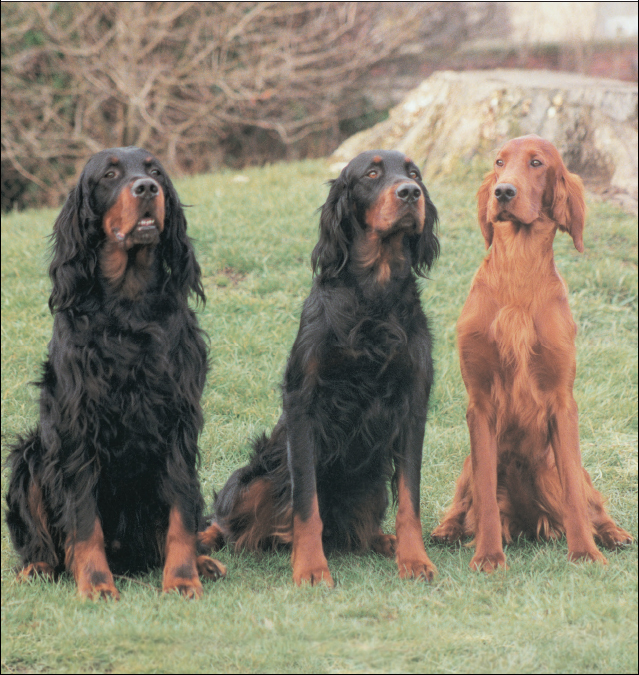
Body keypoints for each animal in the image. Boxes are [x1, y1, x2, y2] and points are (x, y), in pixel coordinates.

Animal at [432, 136, 632, 572]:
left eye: (537, 163)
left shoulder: (562, 401)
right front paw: (489, 555)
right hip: (467, 464)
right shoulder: (480, 404)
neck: (518, 270)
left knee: (593, 501)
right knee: (462, 501)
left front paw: (584, 552)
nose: (503, 191)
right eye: (499, 162)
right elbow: (485, 496)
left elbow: (574, 493)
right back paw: (446, 530)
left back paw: (614, 534)